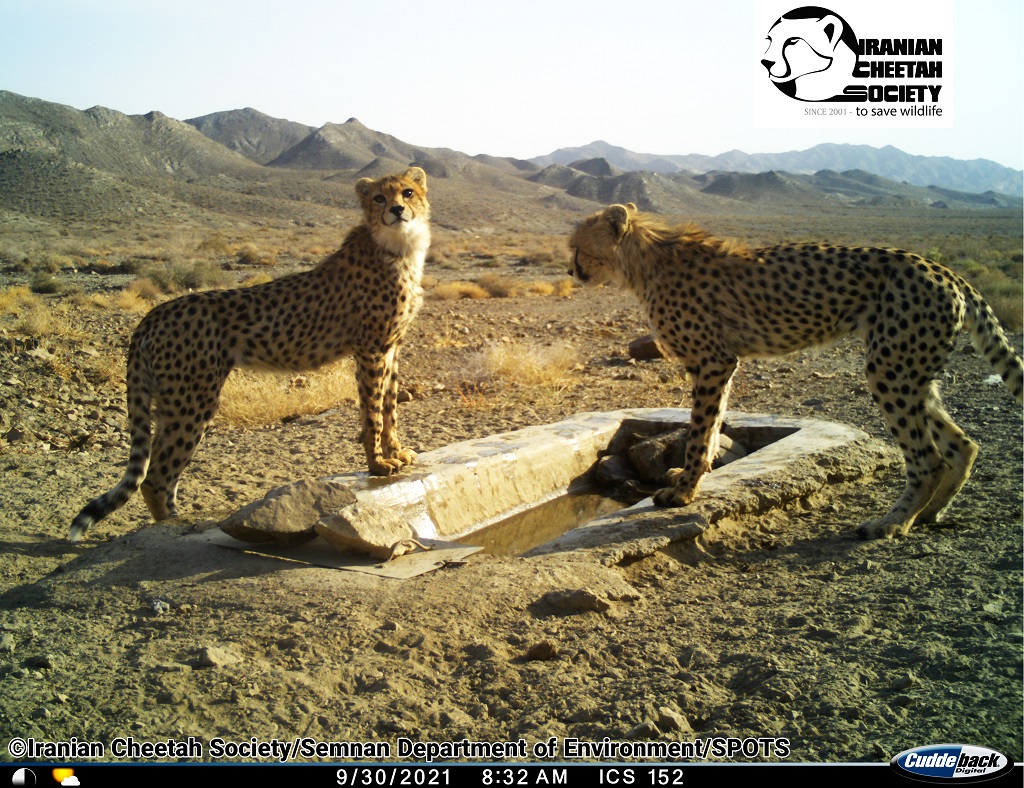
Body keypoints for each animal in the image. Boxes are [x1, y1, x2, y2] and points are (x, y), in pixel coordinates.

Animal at [68, 167, 431, 542]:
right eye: (379, 198)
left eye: (407, 192)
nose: (397, 210)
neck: (398, 245)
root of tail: (154, 313)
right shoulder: (370, 348)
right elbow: (372, 412)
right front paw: (377, 464)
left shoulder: (391, 348)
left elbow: (389, 407)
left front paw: (396, 451)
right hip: (193, 399)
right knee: (155, 476)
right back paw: (175, 527)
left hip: (173, 401)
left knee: (157, 464)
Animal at [569, 202, 1023, 539]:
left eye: (576, 246)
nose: (570, 270)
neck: (642, 261)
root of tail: (946, 271)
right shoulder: (721, 362)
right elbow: (713, 424)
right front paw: (695, 475)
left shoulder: (712, 360)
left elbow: (699, 432)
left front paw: (683, 491)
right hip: (912, 371)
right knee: (963, 444)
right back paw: (931, 513)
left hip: (890, 369)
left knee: (927, 457)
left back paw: (891, 523)